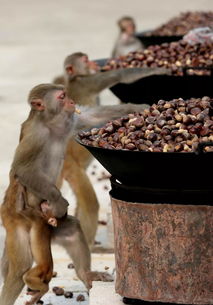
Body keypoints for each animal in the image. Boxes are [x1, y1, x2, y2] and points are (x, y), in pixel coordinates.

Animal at [52, 51, 171, 247]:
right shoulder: (89, 81)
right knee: (90, 205)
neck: (75, 77)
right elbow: (119, 75)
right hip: (72, 168)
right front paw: (159, 71)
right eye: (85, 60)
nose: (93, 63)